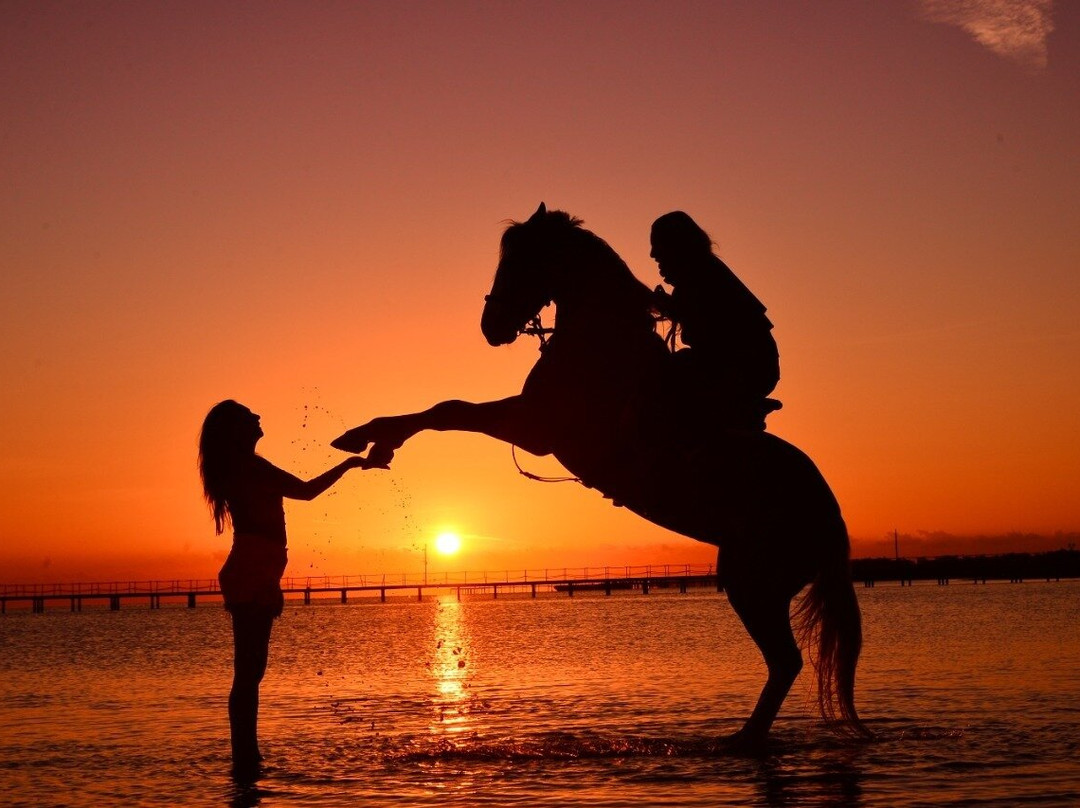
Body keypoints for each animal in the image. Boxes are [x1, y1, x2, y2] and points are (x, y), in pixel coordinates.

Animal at [333, 203, 868, 746]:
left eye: (520, 260)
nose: (491, 325)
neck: (597, 342)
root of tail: (831, 515)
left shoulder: (533, 426)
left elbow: (447, 410)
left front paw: (367, 438)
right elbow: (445, 409)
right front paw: (370, 442)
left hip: (751, 579)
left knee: (785, 661)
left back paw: (743, 740)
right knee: (784, 662)